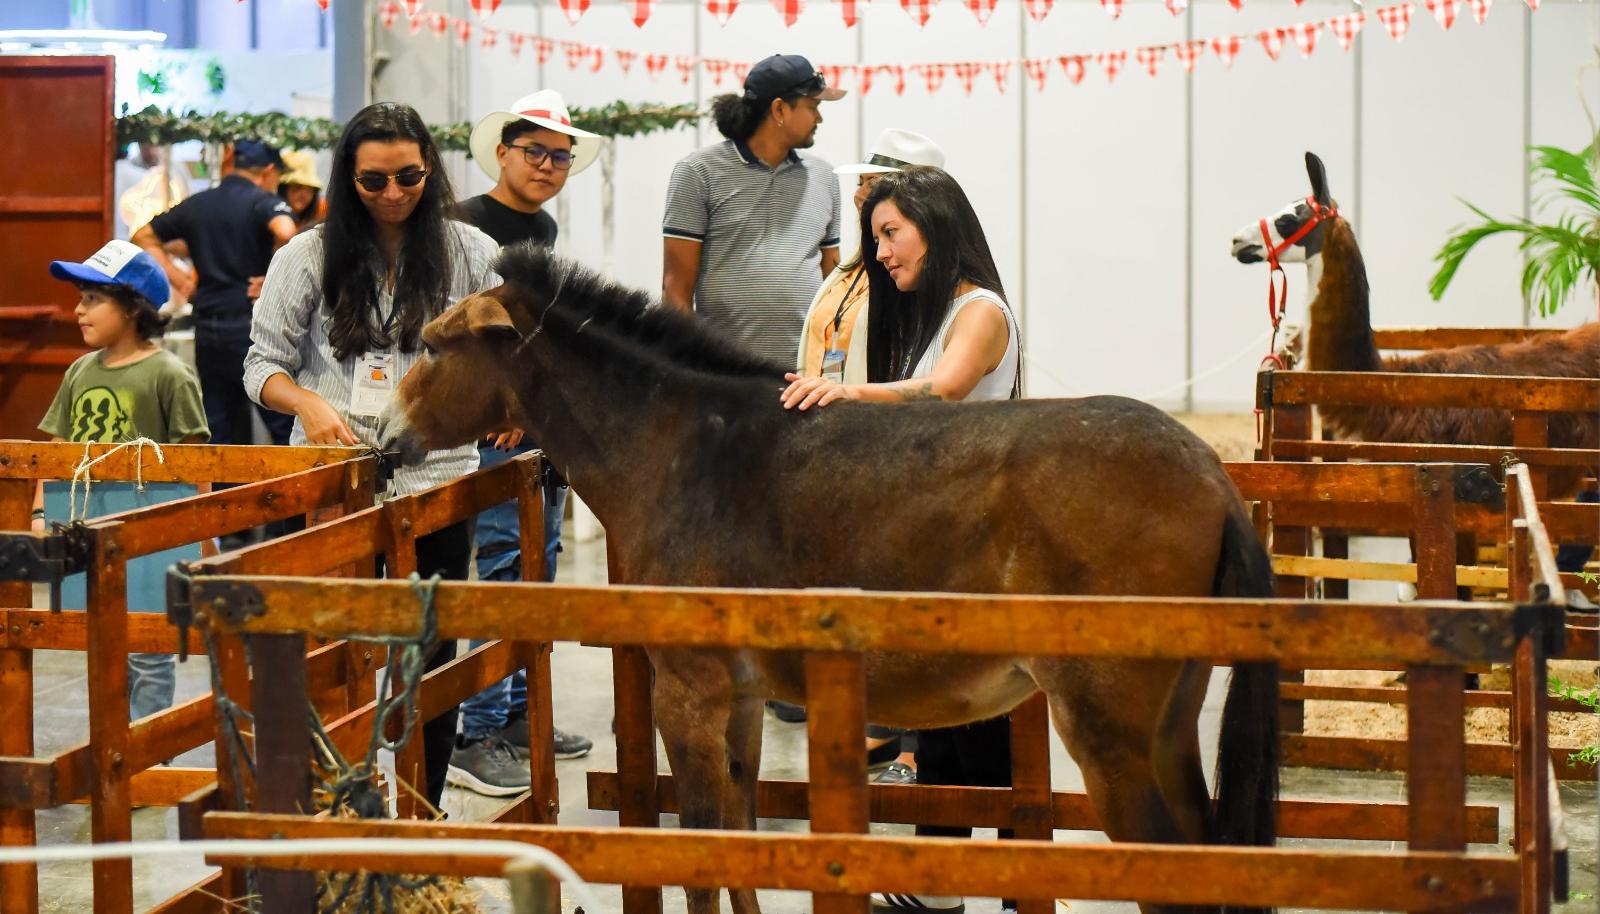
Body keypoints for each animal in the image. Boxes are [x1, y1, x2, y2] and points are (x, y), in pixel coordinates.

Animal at [380, 243, 1280, 914]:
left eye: (432, 344)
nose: (386, 442)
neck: (682, 448)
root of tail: (1208, 474)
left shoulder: (691, 696)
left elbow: (701, 849)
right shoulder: (739, 700)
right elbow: (739, 836)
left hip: (1108, 736)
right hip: (1167, 729)